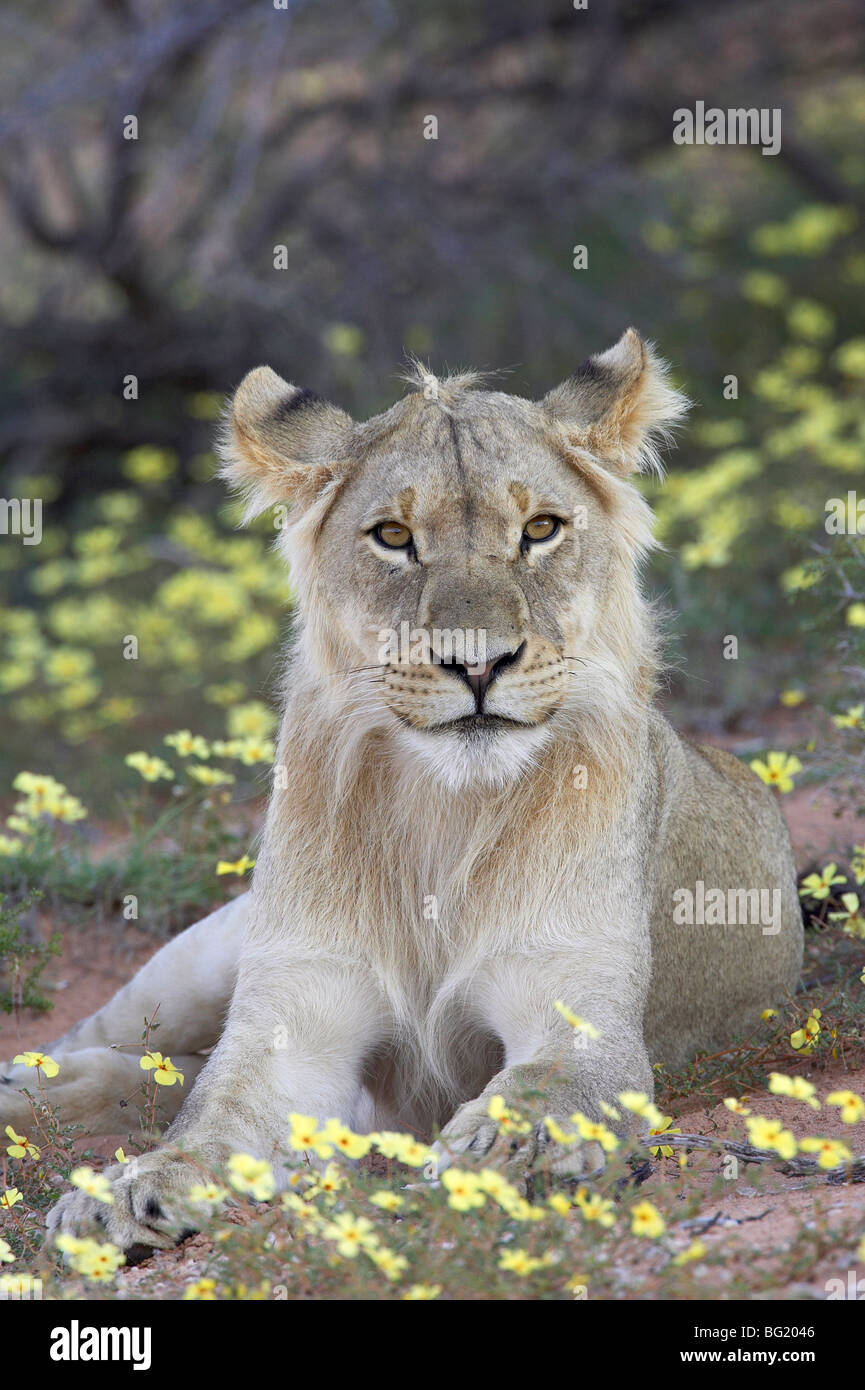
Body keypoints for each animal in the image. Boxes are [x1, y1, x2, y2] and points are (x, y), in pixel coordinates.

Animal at [2, 329, 802, 1252]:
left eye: (540, 529)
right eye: (392, 536)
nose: (478, 663)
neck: (443, 812)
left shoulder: (581, 1006)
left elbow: (548, 1088)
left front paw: (502, 1149)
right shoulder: (295, 1016)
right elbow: (211, 1119)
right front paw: (129, 1189)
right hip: (197, 962)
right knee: (121, 1053)